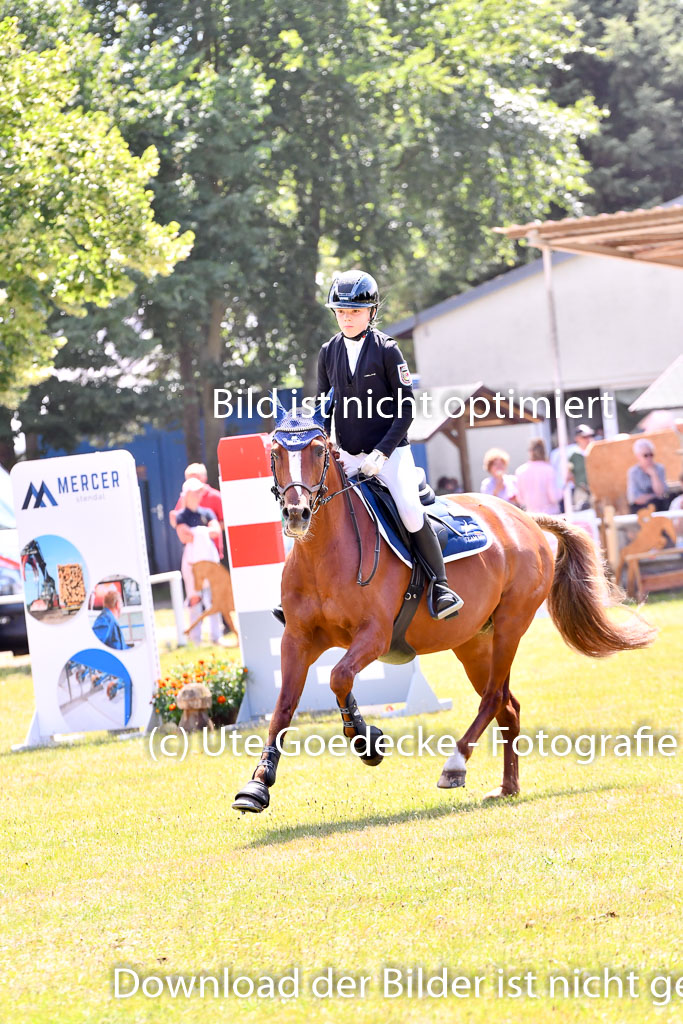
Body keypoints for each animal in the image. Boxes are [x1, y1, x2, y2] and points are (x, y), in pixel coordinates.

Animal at [232, 419, 655, 811]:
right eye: (275, 454)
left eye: (319, 451)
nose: (297, 513)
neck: (324, 553)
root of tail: (523, 518)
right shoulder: (298, 639)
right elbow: (284, 705)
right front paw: (258, 784)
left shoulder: (374, 636)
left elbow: (338, 677)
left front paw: (365, 741)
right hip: (473, 643)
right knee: (508, 706)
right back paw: (508, 786)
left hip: (510, 626)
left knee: (493, 697)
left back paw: (455, 765)